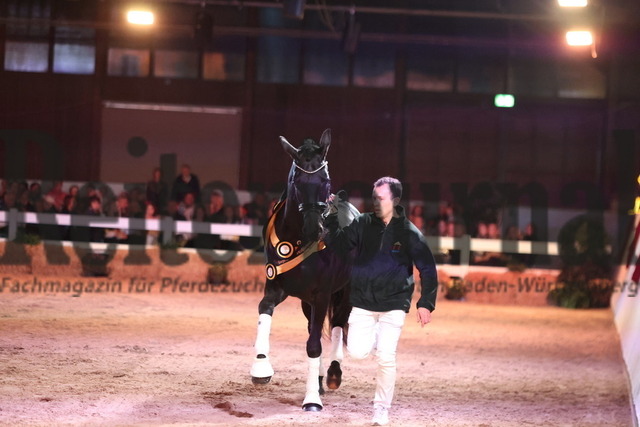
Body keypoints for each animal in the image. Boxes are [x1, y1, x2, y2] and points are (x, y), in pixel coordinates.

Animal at [250, 129, 359, 411]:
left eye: (325, 181)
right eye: (297, 182)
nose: (314, 229)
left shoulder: (322, 294)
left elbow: (314, 346)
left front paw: (312, 401)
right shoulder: (276, 285)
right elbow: (264, 310)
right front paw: (261, 368)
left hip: (344, 294)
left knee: (337, 325)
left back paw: (333, 375)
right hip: (306, 302)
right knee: (315, 329)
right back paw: (320, 380)